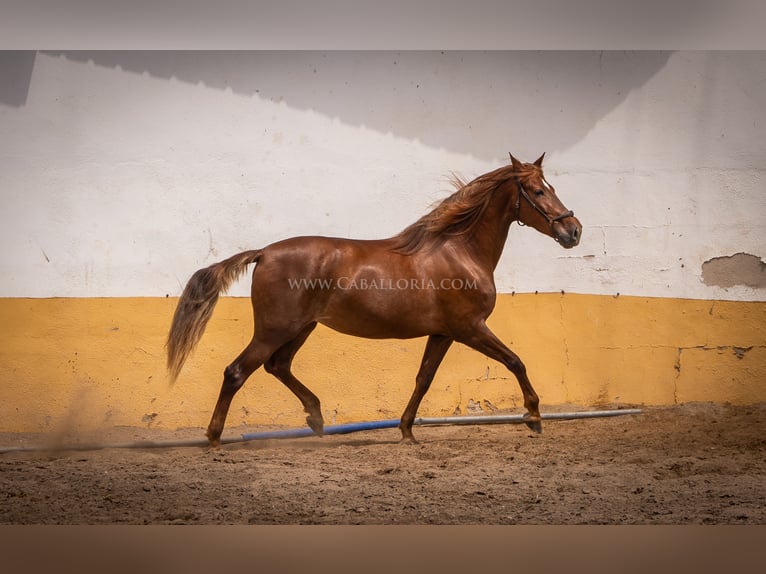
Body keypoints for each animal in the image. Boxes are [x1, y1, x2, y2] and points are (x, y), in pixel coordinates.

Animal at [166, 155, 584, 448]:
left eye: (550, 186)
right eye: (538, 191)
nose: (573, 230)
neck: (459, 250)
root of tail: (264, 252)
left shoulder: (444, 333)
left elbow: (423, 379)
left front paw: (407, 432)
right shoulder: (471, 328)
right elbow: (515, 361)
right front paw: (533, 417)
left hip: (300, 328)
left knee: (277, 366)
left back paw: (316, 419)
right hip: (275, 329)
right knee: (237, 372)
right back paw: (215, 438)